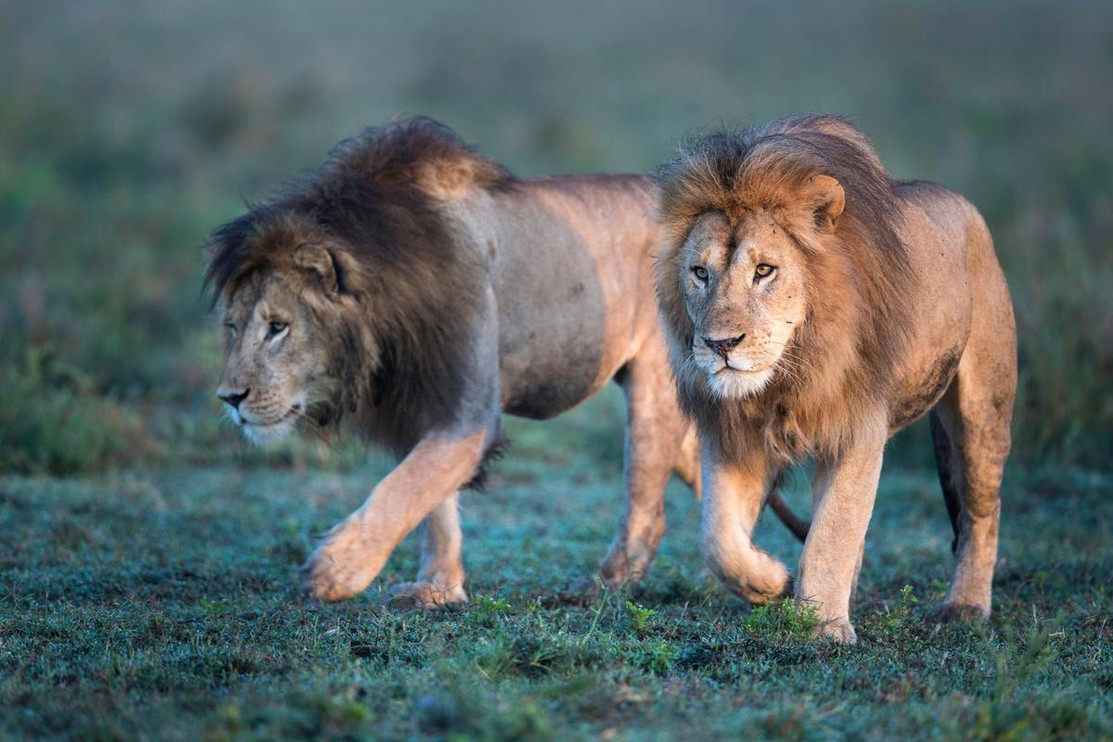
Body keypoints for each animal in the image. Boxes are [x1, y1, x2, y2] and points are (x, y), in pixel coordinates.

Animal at [204, 117, 803, 607]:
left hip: (655, 382)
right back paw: (750, 573)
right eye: (232, 328)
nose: (229, 399)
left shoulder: (468, 410)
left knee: (647, 506)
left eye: (278, 327)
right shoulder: (422, 401)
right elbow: (431, 500)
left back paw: (612, 584)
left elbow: (406, 487)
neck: (385, 306)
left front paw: (335, 569)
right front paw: (437, 588)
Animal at [654, 115, 1016, 643]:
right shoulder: (732, 434)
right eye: (700, 273)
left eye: (765, 270)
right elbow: (718, 539)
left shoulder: (857, 428)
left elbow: (834, 531)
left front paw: (823, 627)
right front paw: (773, 583)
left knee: (980, 513)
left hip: (983, 411)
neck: (787, 377)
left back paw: (965, 607)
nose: (721, 344)